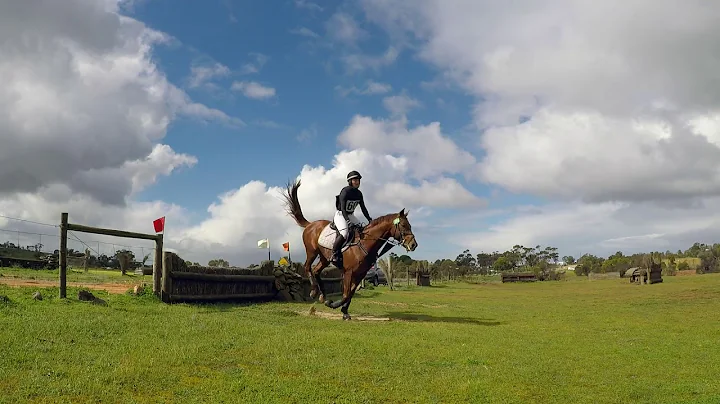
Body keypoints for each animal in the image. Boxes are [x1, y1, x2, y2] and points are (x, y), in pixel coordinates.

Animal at [282, 178, 416, 320]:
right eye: (403, 225)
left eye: (410, 225)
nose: (414, 245)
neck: (365, 242)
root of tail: (310, 224)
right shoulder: (348, 272)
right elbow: (346, 294)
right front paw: (333, 305)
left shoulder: (360, 273)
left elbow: (350, 294)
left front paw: (344, 311)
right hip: (312, 252)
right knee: (308, 267)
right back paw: (313, 292)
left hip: (324, 258)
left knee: (316, 270)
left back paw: (323, 296)